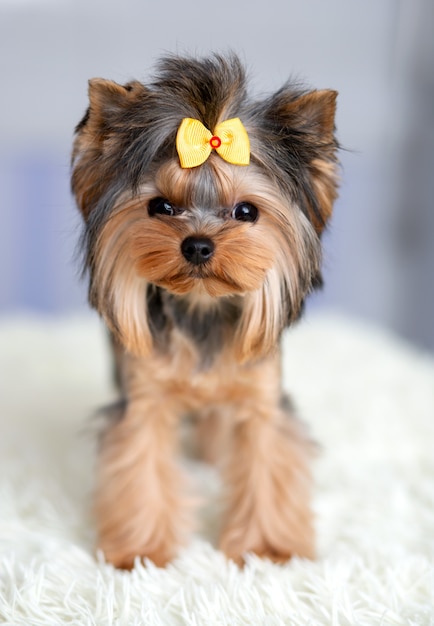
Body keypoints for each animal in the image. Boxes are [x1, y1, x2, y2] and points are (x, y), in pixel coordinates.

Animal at [71, 53, 340, 568]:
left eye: (246, 212)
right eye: (161, 206)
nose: (197, 245)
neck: (201, 305)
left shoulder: (261, 397)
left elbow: (266, 461)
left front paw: (266, 549)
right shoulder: (144, 397)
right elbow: (140, 465)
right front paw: (141, 552)